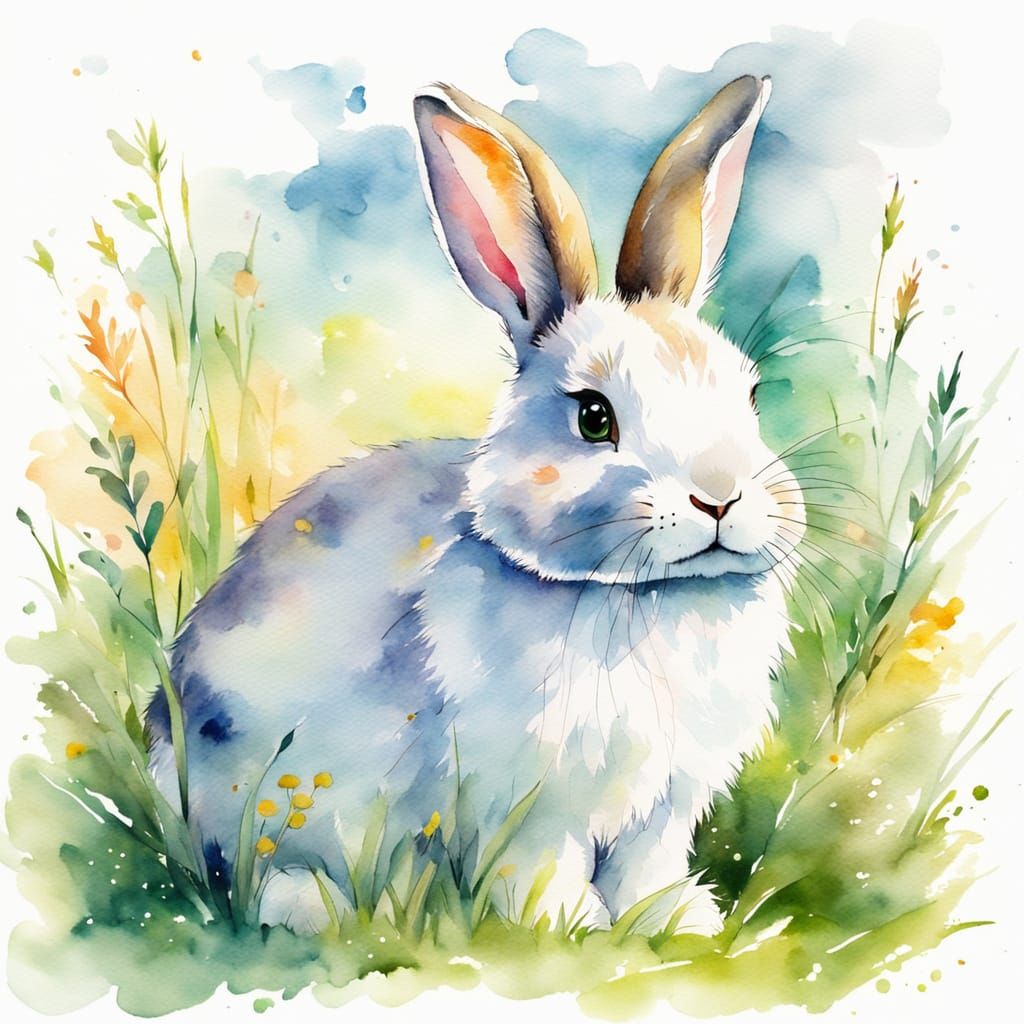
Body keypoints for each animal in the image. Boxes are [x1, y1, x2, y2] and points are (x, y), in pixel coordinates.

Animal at [146, 73, 804, 936]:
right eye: (595, 417)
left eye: (749, 395)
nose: (720, 498)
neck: (642, 597)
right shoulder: (525, 804)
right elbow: (541, 867)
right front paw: (568, 926)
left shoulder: (664, 805)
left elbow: (646, 868)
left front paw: (677, 921)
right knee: (252, 876)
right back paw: (319, 907)